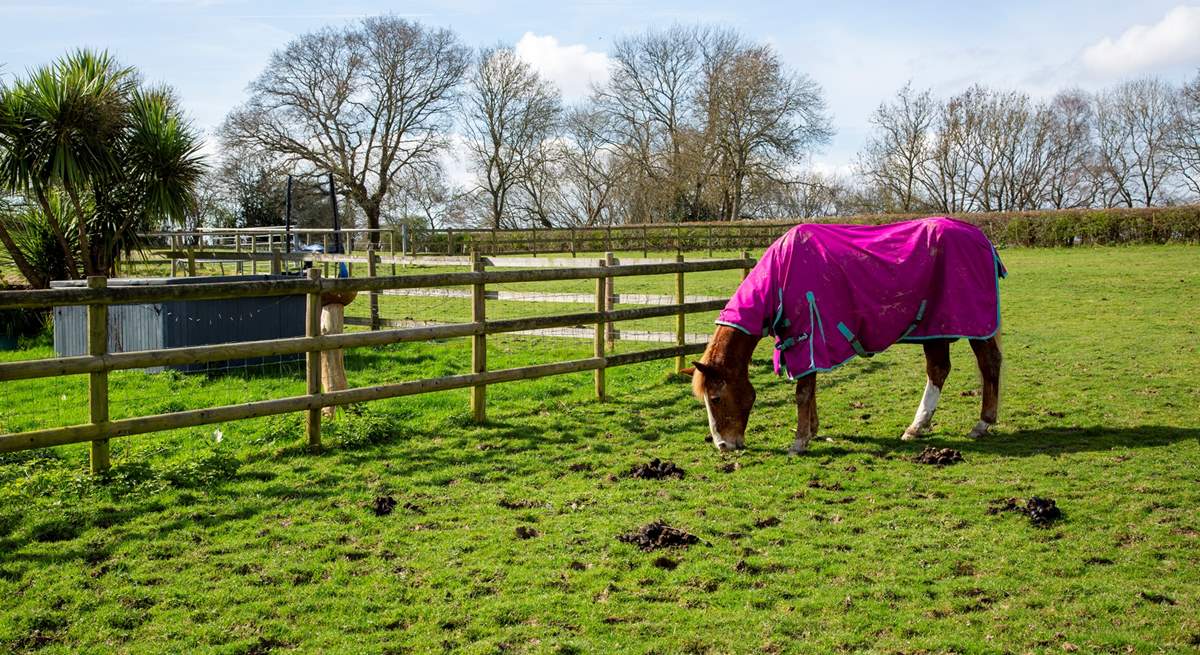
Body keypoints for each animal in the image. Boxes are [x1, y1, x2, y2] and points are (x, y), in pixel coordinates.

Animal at [686, 217, 1003, 451]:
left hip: (973, 327)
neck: (781, 276)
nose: (723, 446)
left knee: (988, 364)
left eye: (715, 398)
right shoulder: (805, 344)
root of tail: (980, 237)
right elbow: (810, 388)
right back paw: (917, 427)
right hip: (934, 330)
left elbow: (803, 391)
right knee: (938, 370)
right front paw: (811, 431)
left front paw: (799, 441)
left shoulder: (808, 338)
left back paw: (982, 423)